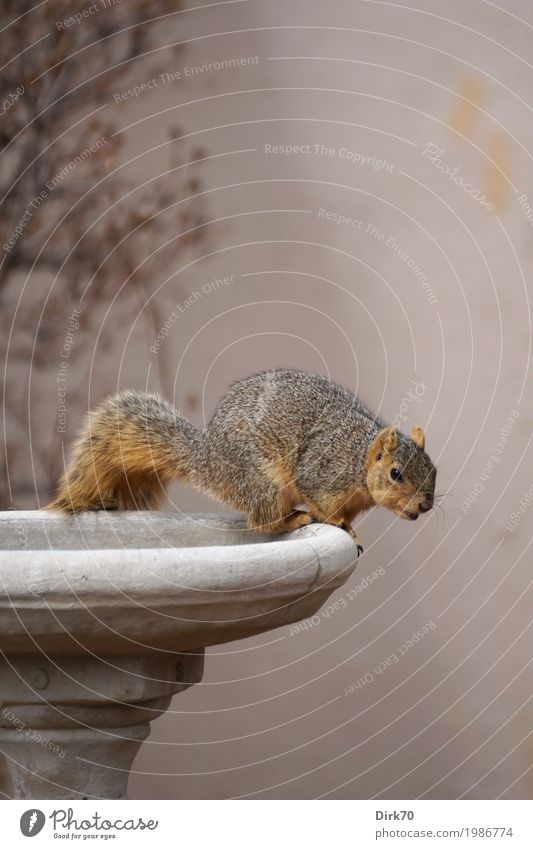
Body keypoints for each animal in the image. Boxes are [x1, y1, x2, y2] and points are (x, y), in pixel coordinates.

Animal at [47, 366, 434, 552]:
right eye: (396, 473)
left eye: (433, 470)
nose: (426, 506)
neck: (357, 460)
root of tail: (208, 460)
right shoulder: (322, 472)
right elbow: (323, 503)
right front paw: (341, 527)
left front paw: (350, 527)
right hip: (262, 483)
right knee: (262, 521)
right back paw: (295, 518)